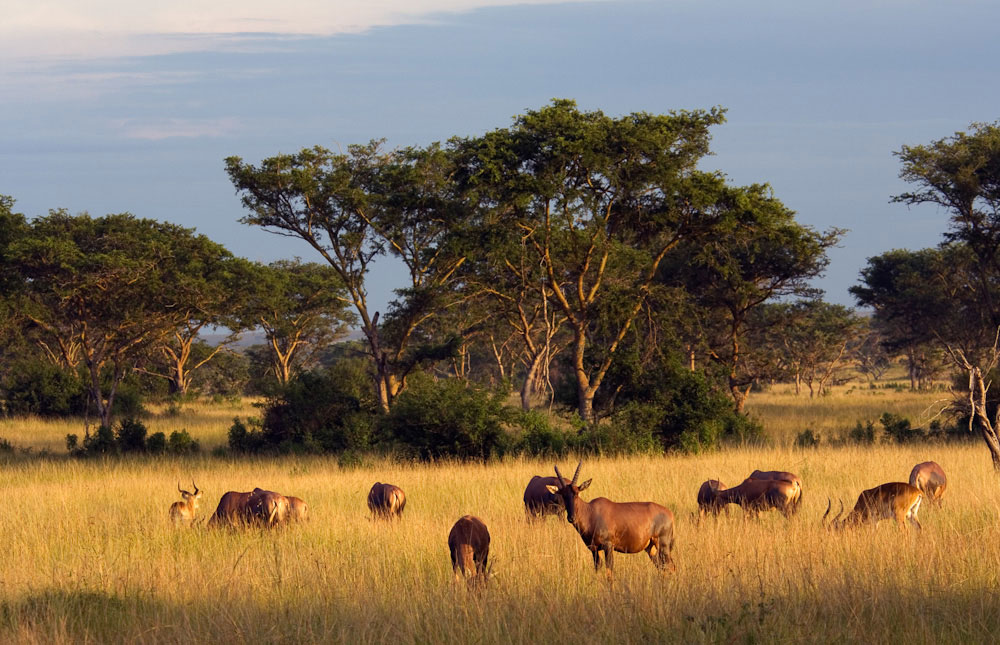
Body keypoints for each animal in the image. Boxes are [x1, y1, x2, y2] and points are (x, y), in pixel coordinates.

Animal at [544, 458, 676, 572]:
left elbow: (609, 571)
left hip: (662, 544)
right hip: (650, 548)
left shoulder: (608, 546)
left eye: (576, 493)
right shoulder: (594, 549)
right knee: (662, 567)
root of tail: (670, 514)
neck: (591, 512)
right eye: (563, 495)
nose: (571, 518)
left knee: (671, 567)